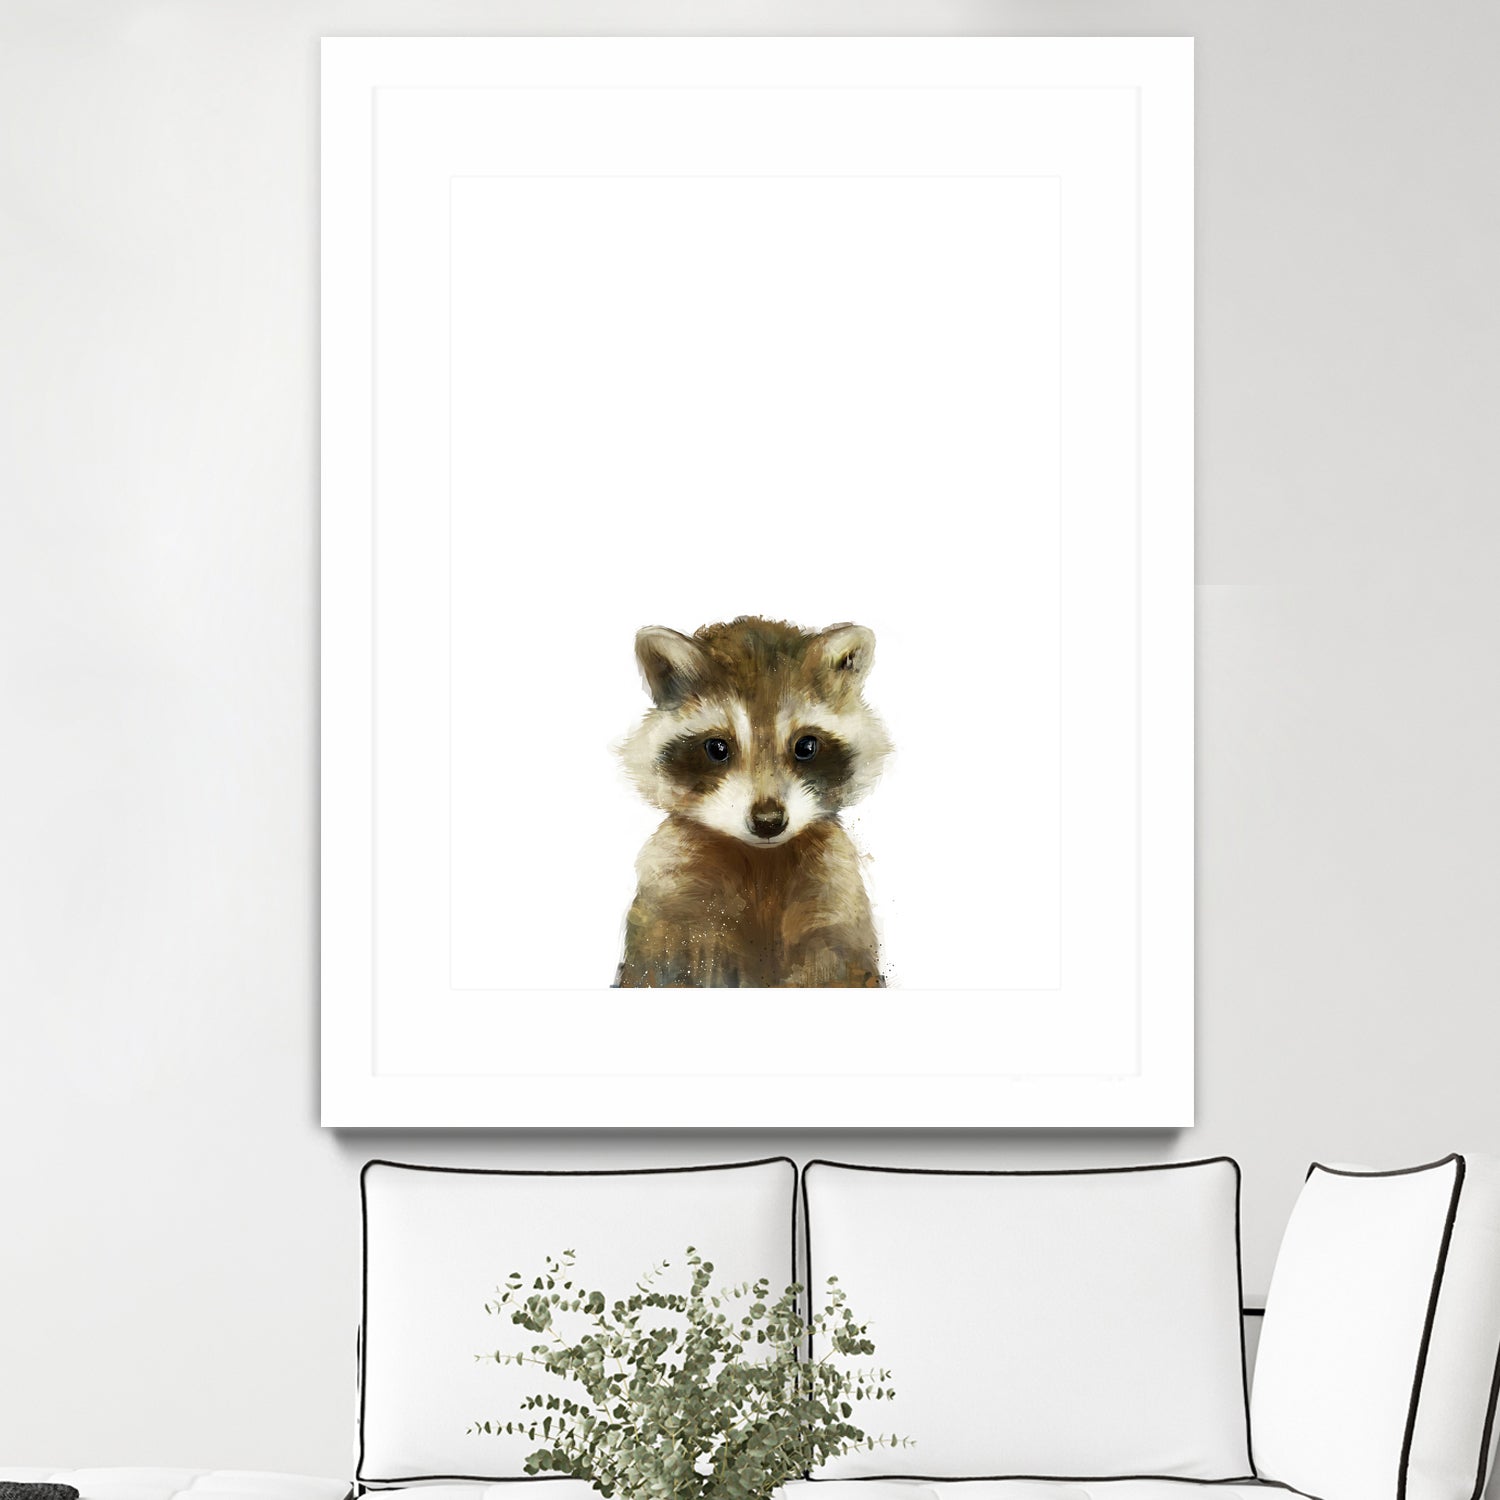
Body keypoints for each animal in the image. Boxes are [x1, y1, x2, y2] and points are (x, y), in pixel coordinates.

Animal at [616, 616, 892, 988]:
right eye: (717, 748)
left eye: (806, 746)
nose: (768, 821)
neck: (762, 860)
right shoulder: (672, 897)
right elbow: (664, 966)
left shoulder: (835, 894)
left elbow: (838, 964)